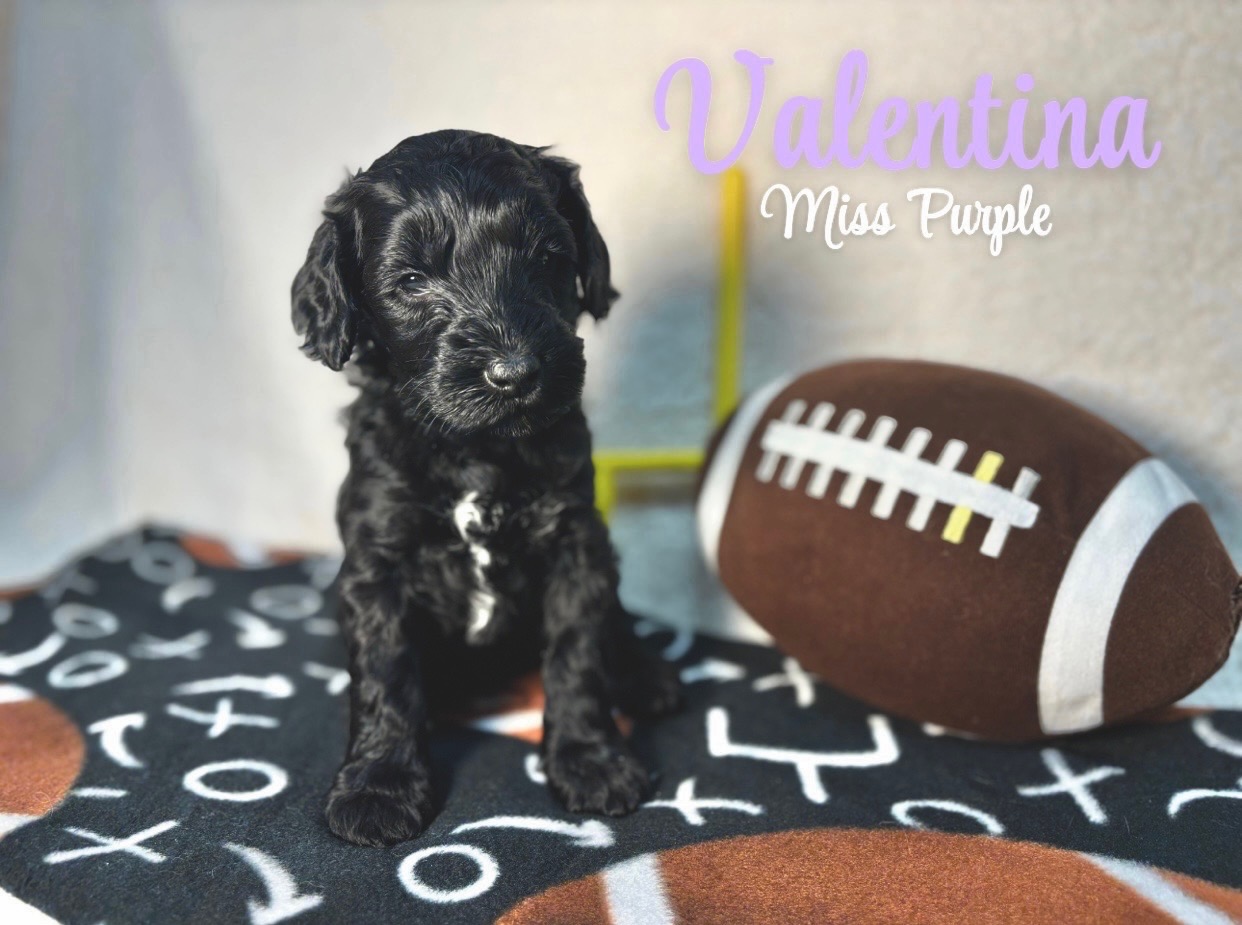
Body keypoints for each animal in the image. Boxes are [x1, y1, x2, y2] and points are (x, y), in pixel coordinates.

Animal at [290, 130, 682, 847]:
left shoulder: (575, 539)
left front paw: (589, 761)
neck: (475, 448)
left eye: (547, 258)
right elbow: (386, 671)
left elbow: (578, 651)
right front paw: (380, 785)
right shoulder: (377, 557)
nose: (516, 372)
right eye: (411, 280)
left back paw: (643, 675)